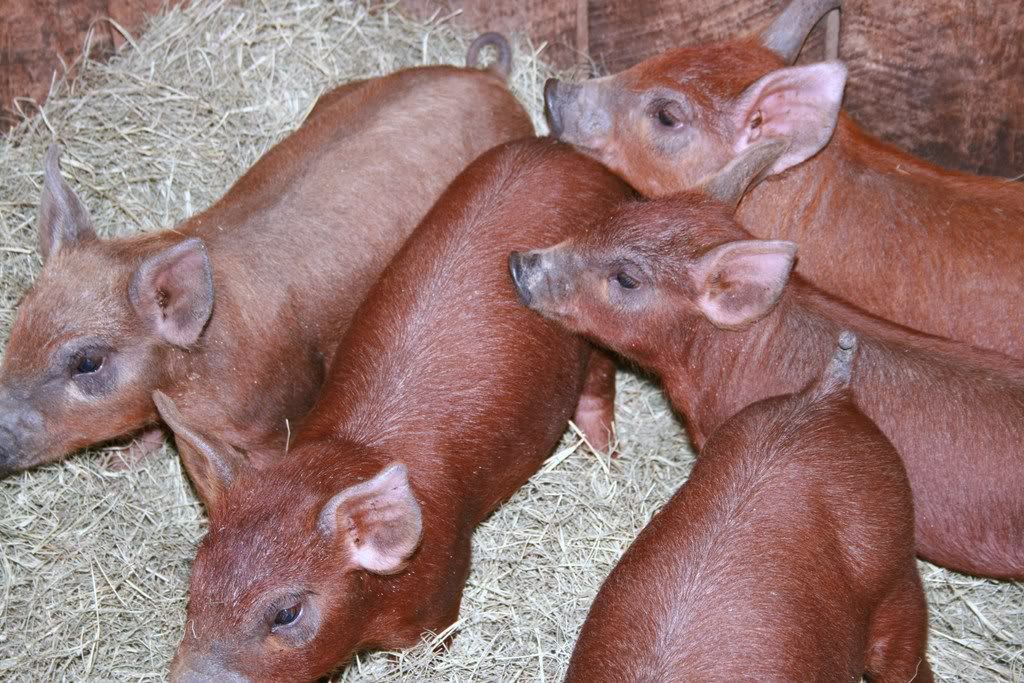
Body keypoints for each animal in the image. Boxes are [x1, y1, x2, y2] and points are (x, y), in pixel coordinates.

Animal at [0, 33, 533, 478]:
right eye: (19, 318)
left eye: (88, 362)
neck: (201, 360)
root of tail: (488, 77)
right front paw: (121, 463)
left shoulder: (281, 413)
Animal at [155, 138, 631, 682]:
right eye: (195, 582)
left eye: (286, 613)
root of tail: (564, 150)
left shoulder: (442, 582)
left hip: (590, 328)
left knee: (599, 382)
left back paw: (604, 455)